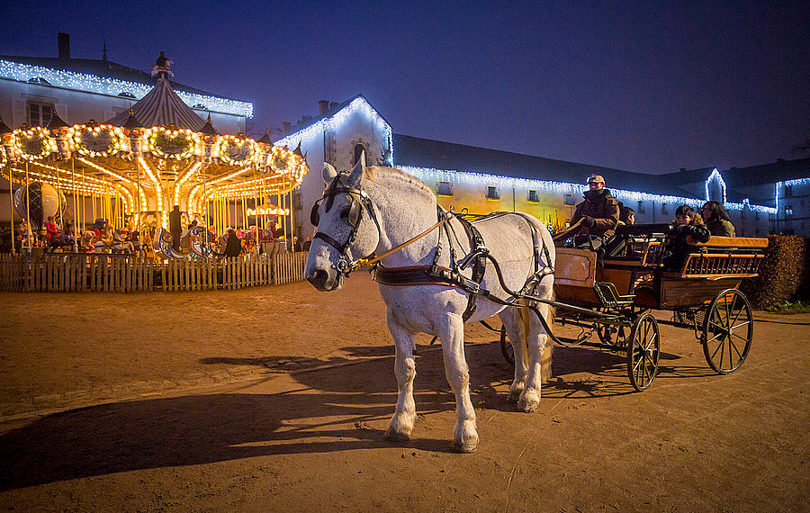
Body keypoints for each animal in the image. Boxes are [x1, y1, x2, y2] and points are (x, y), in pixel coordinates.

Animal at [304, 157, 556, 452]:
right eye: (318, 213)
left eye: (347, 212)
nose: (317, 274)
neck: (420, 253)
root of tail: (529, 219)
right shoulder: (397, 322)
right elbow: (404, 371)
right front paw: (401, 422)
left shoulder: (450, 321)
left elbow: (458, 373)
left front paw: (466, 431)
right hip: (506, 300)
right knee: (516, 338)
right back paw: (517, 386)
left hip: (539, 293)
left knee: (536, 341)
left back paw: (530, 394)